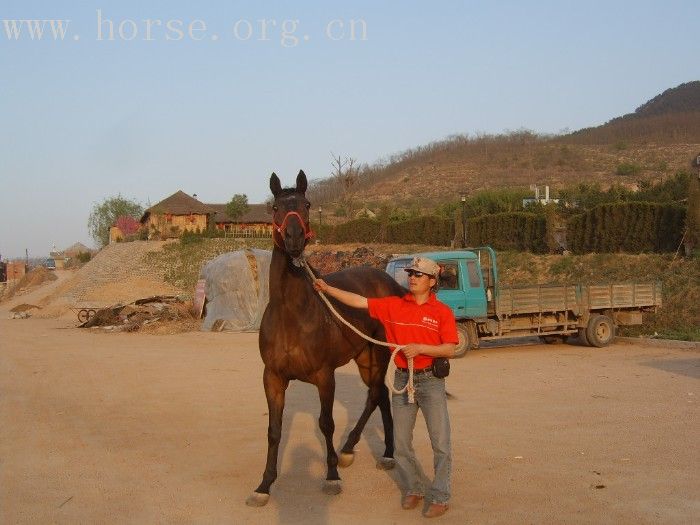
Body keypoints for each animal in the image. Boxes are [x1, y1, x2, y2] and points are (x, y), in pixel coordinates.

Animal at [246, 170, 408, 506]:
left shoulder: (324, 376)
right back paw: (386, 453)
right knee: (380, 395)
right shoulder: (273, 377)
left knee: (375, 394)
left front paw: (332, 475)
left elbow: (326, 423)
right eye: (274, 208)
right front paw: (264, 484)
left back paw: (352, 450)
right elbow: (274, 429)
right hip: (365, 358)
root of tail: (389, 283)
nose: (294, 239)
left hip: (378, 354)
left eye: (307, 204)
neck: (292, 316)